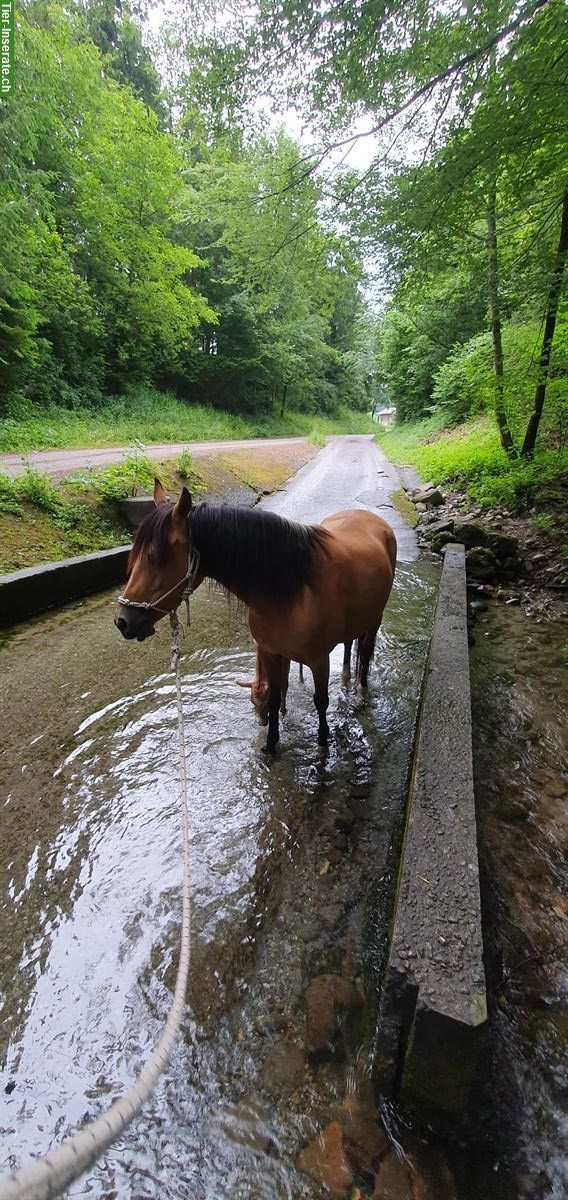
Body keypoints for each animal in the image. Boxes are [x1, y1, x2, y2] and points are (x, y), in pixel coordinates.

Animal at [114, 480, 398, 748]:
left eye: (156, 558)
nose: (122, 621)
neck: (291, 591)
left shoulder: (319, 661)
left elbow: (320, 702)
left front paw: (322, 744)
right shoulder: (271, 653)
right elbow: (274, 697)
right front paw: (270, 746)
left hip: (374, 621)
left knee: (365, 654)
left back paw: (360, 691)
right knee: (350, 644)